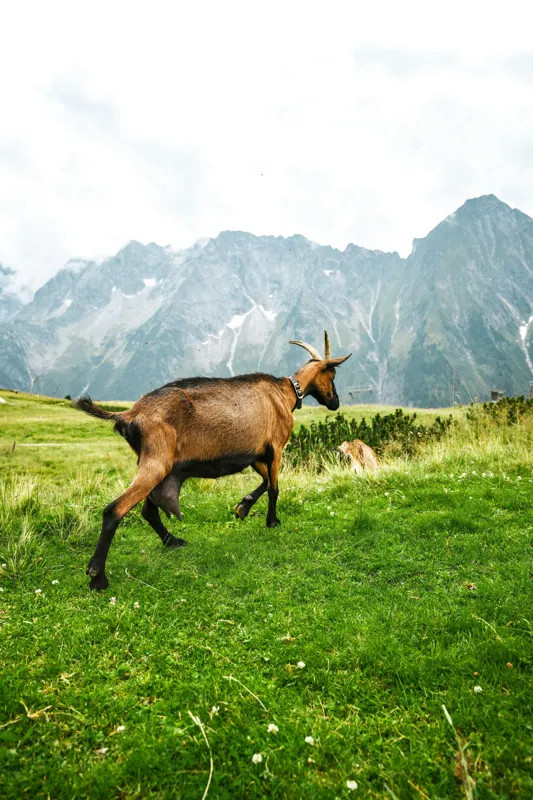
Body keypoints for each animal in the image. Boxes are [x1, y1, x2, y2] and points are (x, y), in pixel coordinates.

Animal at [73, 331, 351, 590]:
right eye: (333, 375)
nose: (336, 402)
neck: (285, 393)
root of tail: (129, 414)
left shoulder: (254, 453)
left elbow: (264, 481)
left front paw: (242, 506)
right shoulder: (276, 447)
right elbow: (274, 488)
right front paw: (272, 521)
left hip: (156, 464)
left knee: (148, 511)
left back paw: (173, 542)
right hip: (156, 461)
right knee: (115, 510)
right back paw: (98, 576)